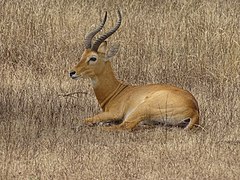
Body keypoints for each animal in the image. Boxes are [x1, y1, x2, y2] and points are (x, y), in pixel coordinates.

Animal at [69, 10, 199, 131]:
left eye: (93, 58)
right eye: (83, 55)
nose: (72, 72)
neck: (117, 92)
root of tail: (194, 109)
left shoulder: (114, 113)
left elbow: (86, 119)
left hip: (141, 109)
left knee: (125, 126)